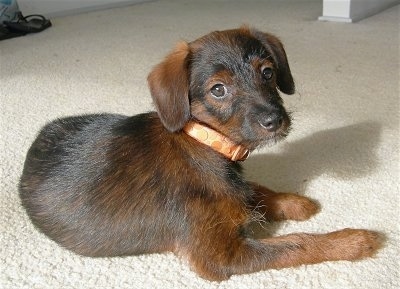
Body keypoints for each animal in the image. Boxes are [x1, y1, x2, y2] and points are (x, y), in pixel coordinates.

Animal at [18, 26, 382, 280]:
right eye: (218, 90)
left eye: (267, 72)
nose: (274, 120)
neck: (206, 141)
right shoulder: (221, 256)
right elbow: (298, 243)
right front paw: (353, 240)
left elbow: (253, 189)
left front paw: (294, 202)